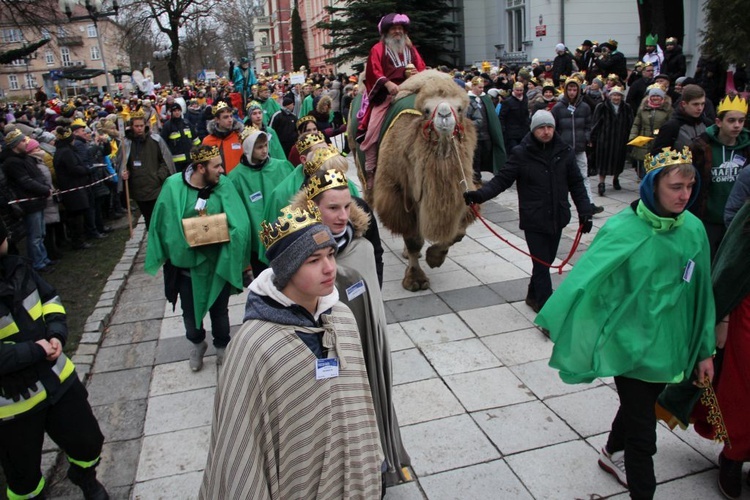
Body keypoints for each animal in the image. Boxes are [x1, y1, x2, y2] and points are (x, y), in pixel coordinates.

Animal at [352, 68, 478, 292]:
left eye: (460, 109)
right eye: (427, 110)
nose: (444, 115)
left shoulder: (463, 192)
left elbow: (458, 233)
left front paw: (434, 257)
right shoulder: (399, 192)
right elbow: (413, 238)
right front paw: (415, 279)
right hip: (364, 170)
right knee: (368, 196)